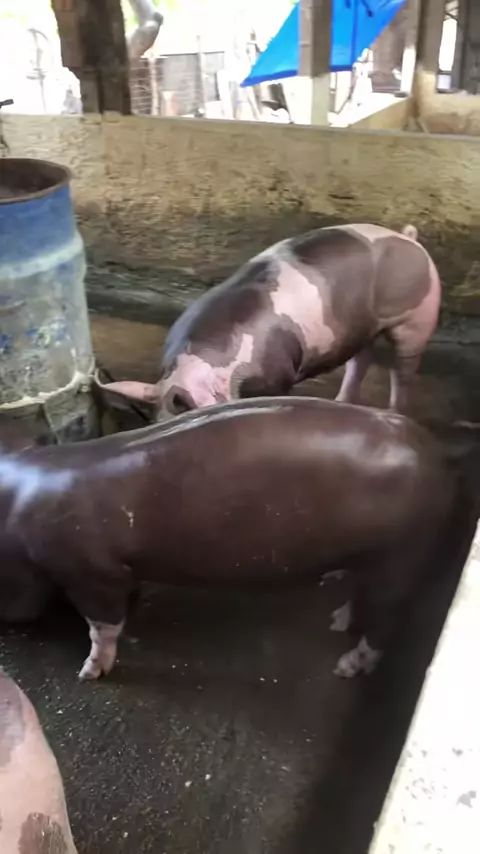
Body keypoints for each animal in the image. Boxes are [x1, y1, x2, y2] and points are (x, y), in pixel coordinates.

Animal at [0, 396, 463, 682]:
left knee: (388, 617)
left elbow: (103, 628)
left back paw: (345, 666)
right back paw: (336, 621)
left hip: (401, 555)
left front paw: (88, 674)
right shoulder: (117, 570)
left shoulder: (93, 573)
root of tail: (433, 451)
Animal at [96, 223, 441, 418]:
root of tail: (410, 239)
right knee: (360, 360)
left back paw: (394, 411)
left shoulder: (276, 374)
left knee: (403, 369)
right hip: (361, 328)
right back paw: (341, 401)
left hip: (418, 318)